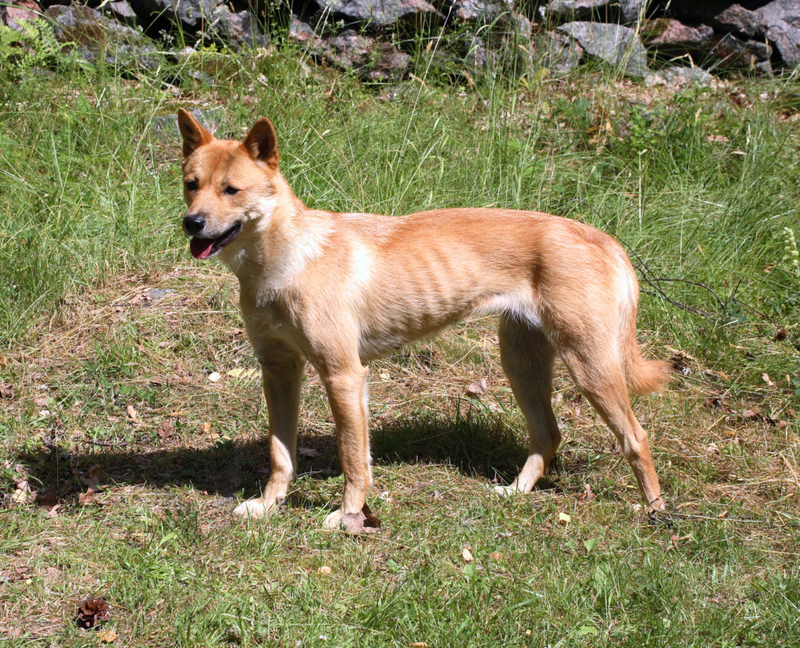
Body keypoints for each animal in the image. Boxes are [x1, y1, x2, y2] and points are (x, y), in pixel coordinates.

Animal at [178, 107, 672, 532]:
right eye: (191, 184)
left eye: (231, 190)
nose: (191, 223)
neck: (286, 262)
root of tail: (603, 239)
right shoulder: (279, 369)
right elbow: (282, 454)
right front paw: (267, 506)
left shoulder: (344, 375)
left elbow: (353, 458)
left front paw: (348, 516)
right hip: (521, 363)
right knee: (548, 435)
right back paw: (516, 491)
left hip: (591, 368)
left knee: (637, 438)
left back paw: (658, 514)